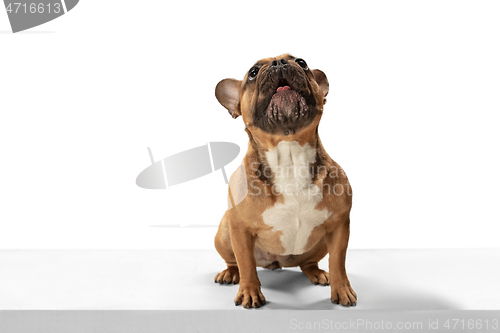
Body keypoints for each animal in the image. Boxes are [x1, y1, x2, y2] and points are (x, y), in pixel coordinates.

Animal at [213, 53, 358, 306]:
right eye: (253, 72)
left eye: (301, 62)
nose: (279, 63)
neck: (289, 155)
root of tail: (275, 263)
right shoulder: (239, 230)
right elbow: (246, 264)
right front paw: (250, 292)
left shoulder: (340, 225)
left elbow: (338, 261)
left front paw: (342, 290)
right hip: (224, 231)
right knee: (235, 262)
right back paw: (230, 273)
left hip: (320, 244)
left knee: (309, 262)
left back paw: (318, 273)